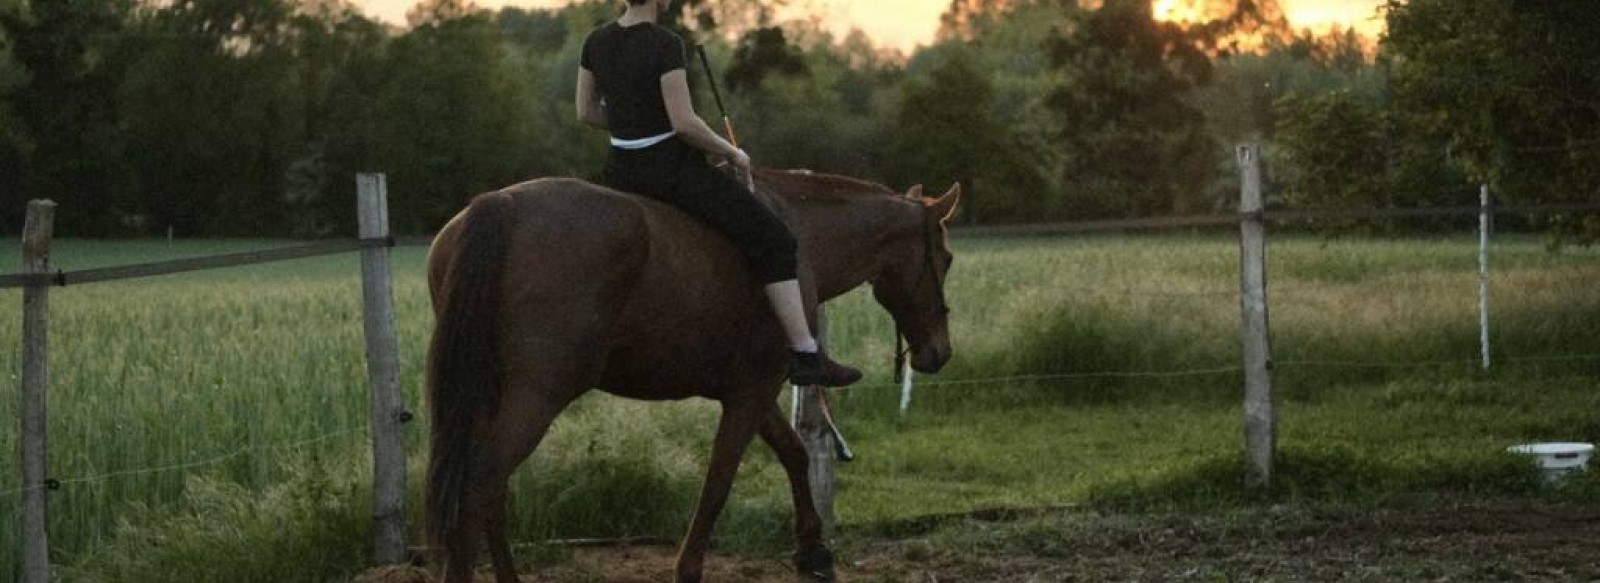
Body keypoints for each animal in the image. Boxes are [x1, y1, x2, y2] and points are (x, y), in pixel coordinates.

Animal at [422, 169, 960, 583]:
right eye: (947, 258)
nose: (939, 352)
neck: (801, 237)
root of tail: (503, 203)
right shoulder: (751, 394)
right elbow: (718, 483)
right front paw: (690, 567)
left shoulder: (752, 391)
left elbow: (793, 454)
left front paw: (812, 551)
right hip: (536, 396)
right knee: (482, 480)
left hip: (487, 394)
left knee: (485, 487)